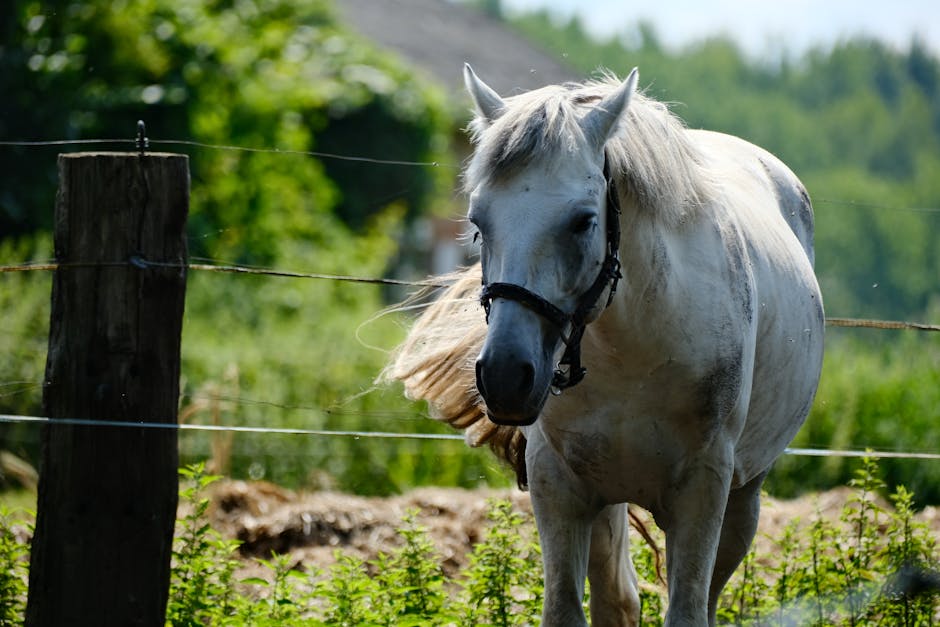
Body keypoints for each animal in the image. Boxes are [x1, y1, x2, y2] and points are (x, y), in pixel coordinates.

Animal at [387, 64, 824, 626]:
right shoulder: (560, 487)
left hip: (744, 498)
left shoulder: (704, 490)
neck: (634, 349)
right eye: (478, 223)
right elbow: (567, 609)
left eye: (582, 221)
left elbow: (687, 610)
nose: (505, 376)